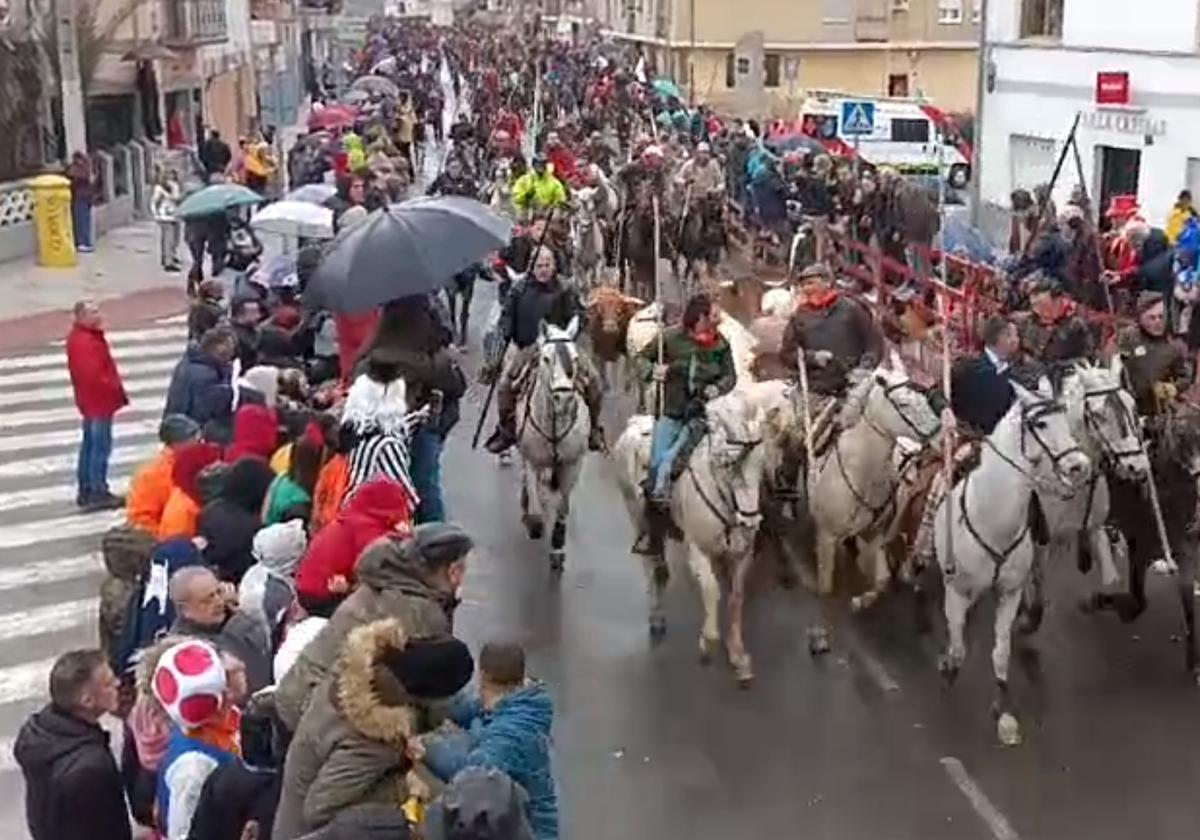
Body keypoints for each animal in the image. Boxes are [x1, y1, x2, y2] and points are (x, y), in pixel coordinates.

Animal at [516, 319, 590, 573]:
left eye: (575, 358)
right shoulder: (532, 460)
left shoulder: (573, 464)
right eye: (547, 358)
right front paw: (534, 524)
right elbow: (535, 502)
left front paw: (557, 547)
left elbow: (563, 506)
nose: (564, 399)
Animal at [614, 391, 763, 686]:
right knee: (652, 567)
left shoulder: (741, 556)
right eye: (730, 465)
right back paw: (657, 617)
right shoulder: (698, 550)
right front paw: (709, 642)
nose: (750, 521)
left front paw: (738, 655)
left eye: (762, 465)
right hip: (636, 516)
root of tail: (633, 424)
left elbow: (736, 597)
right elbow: (712, 589)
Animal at [801, 355, 940, 648]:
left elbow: (882, 580)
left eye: (924, 398)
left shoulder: (876, 531)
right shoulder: (826, 536)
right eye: (904, 403)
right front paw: (821, 636)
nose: (941, 434)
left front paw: (860, 601)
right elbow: (825, 588)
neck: (860, 473)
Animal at [936, 376, 1099, 744]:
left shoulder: (1009, 592)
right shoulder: (956, 589)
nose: (1079, 466)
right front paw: (949, 666)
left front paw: (1002, 708)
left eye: (1066, 417)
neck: (992, 518)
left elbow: (1001, 650)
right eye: (1040, 424)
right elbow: (957, 642)